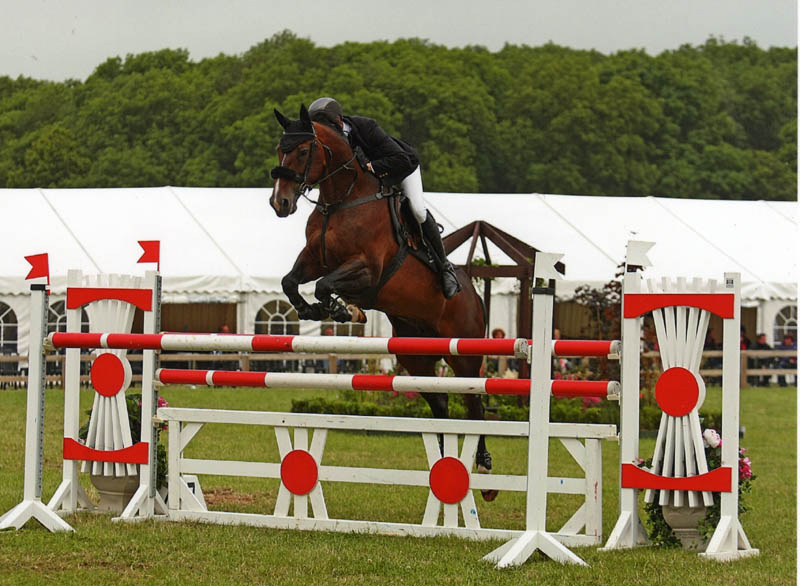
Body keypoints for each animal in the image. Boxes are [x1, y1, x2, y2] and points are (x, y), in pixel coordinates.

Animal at [268, 106, 494, 498]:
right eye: (280, 149)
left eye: (302, 150)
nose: (280, 203)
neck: (341, 199)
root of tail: (476, 296)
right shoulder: (314, 259)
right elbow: (291, 281)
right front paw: (315, 310)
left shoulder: (367, 270)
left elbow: (325, 285)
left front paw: (341, 309)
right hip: (415, 355)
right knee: (441, 401)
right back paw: (443, 460)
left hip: (463, 353)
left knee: (474, 403)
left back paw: (482, 468)